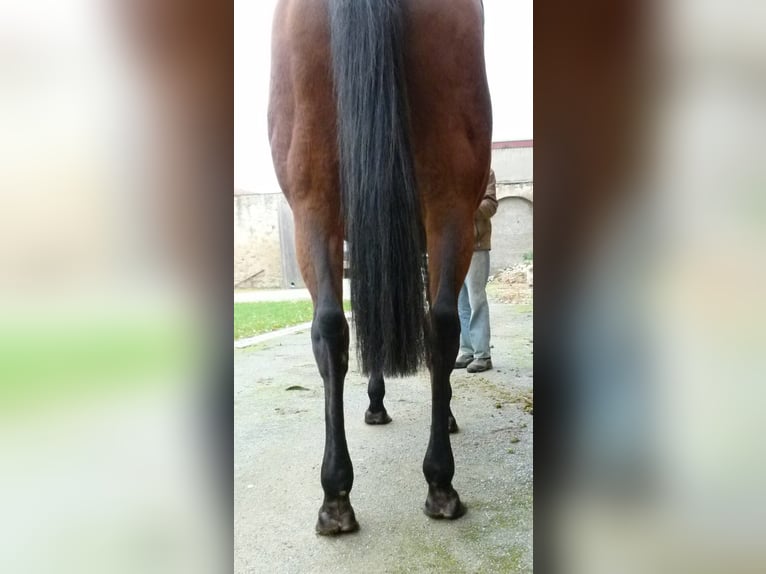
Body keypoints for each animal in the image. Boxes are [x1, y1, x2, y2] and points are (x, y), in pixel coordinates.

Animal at [268, 0, 492, 535]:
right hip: (440, 202)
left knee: (337, 327)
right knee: (434, 325)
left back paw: (343, 494)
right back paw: (428, 480)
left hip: (317, 201)